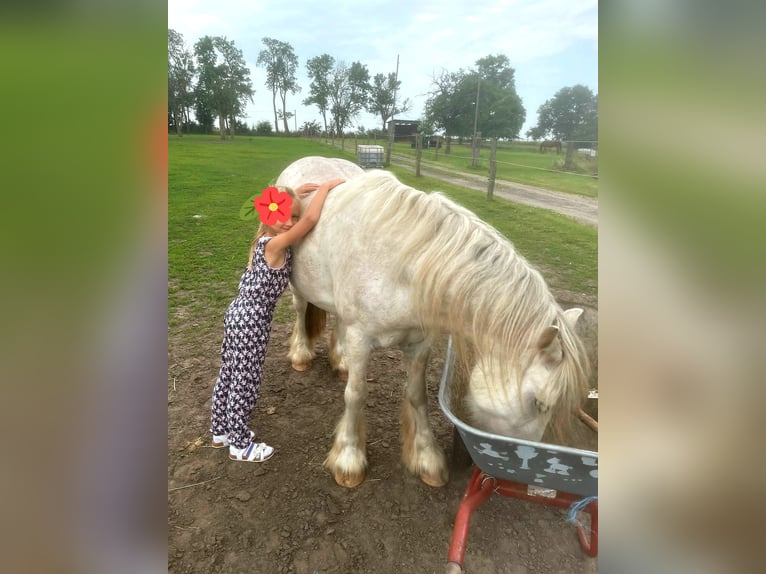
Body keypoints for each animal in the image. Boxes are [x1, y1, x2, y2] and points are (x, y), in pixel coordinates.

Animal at [280, 158, 592, 490]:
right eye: (539, 403)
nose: (522, 472)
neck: (401, 265)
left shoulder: (419, 342)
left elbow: (418, 396)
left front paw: (426, 458)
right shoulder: (361, 339)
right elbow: (356, 395)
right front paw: (349, 459)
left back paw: (341, 363)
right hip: (297, 286)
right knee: (300, 311)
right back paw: (301, 355)